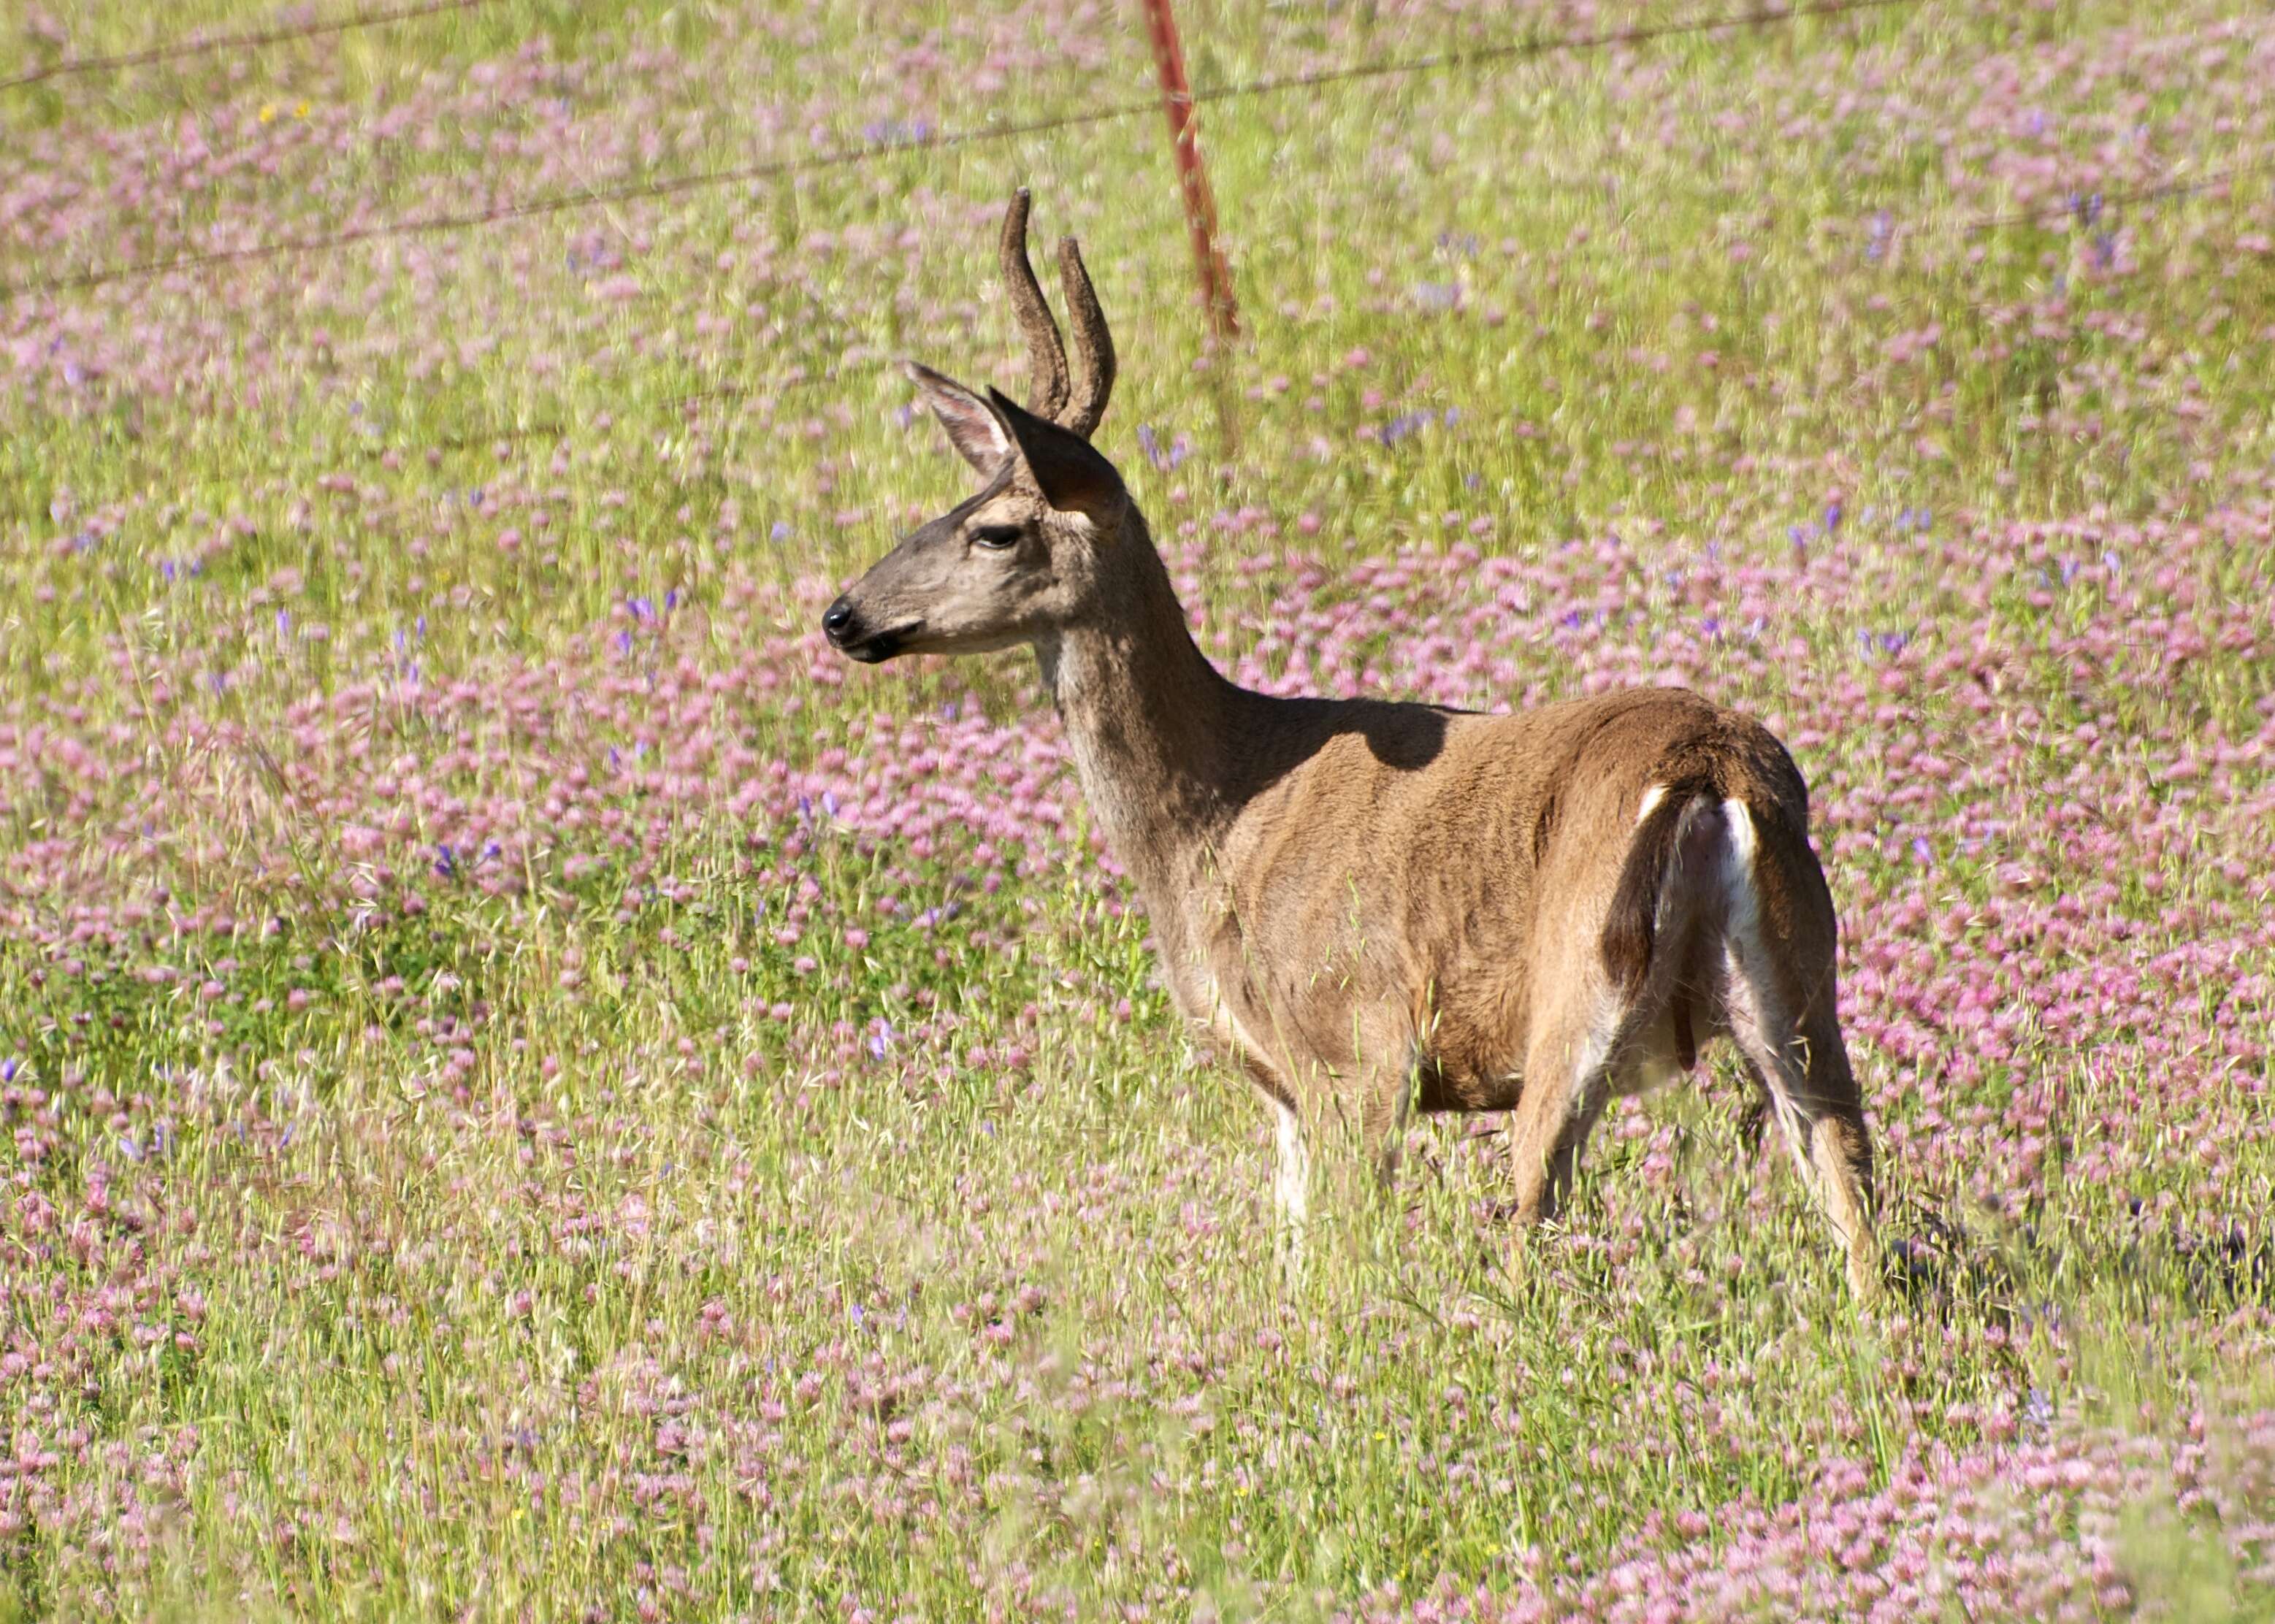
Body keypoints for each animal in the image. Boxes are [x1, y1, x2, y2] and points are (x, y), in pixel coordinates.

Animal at [819, 193, 1884, 1301]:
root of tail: (1708, 769)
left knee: (1532, 1219)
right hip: (1800, 990)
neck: (1223, 808)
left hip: (1574, 990)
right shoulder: (1286, 1089)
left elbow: (1338, 1264)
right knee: (1857, 1204)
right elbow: (1289, 1261)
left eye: (996, 528)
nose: (843, 615)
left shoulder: (1357, 1046)